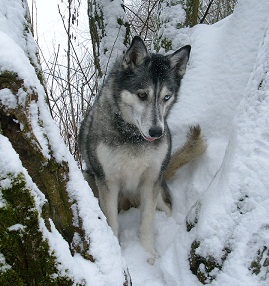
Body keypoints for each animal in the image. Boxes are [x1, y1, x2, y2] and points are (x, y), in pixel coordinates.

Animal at [77, 36, 205, 262]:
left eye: (166, 97)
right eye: (142, 95)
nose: (157, 132)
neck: (133, 137)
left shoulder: (150, 181)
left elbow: (146, 223)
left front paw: (149, 255)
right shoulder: (108, 183)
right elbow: (112, 223)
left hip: (159, 191)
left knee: (167, 209)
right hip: (90, 180)